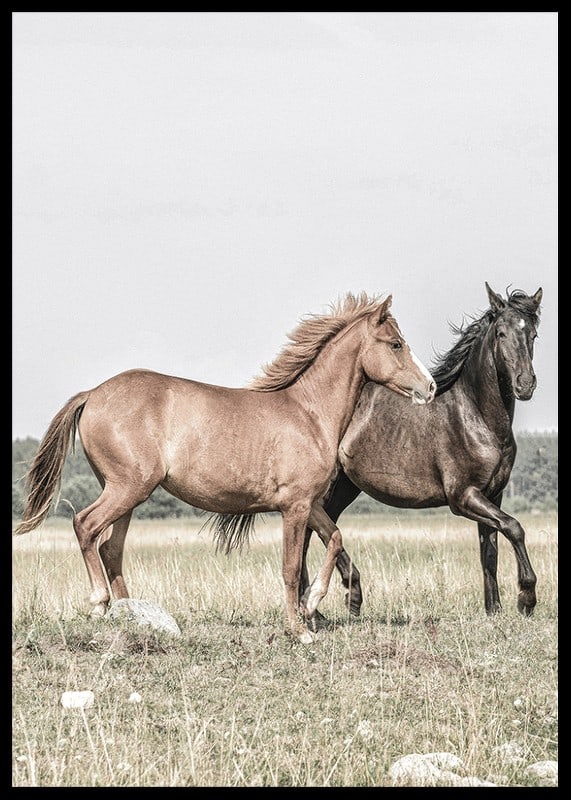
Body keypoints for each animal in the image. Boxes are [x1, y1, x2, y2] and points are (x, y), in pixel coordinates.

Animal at [14, 292, 436, 643]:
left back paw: (133, 616)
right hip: (126, 488)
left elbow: (334, 538)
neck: (309, 414)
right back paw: (100, 604)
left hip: (128, 495)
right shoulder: (294, 506)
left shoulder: (309, 503)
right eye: (396, 344)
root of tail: (93, 394)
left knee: (111, 547)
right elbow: (290, 568)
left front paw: (313, 602)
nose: (429, 387)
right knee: (85, 526)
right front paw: (300, 630)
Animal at [300, 283, 543, 619]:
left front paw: (494, 610)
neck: (476, 417)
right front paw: (526, 598)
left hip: (343, 488)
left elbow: (489, 551)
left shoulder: (493, 495)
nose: (525, 384)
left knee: (321, 530)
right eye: (501, 333)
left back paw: (330, 602)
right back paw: (324, 603)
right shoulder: (463, 497)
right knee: (309, 533)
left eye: (532, 333)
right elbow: (514, 528)